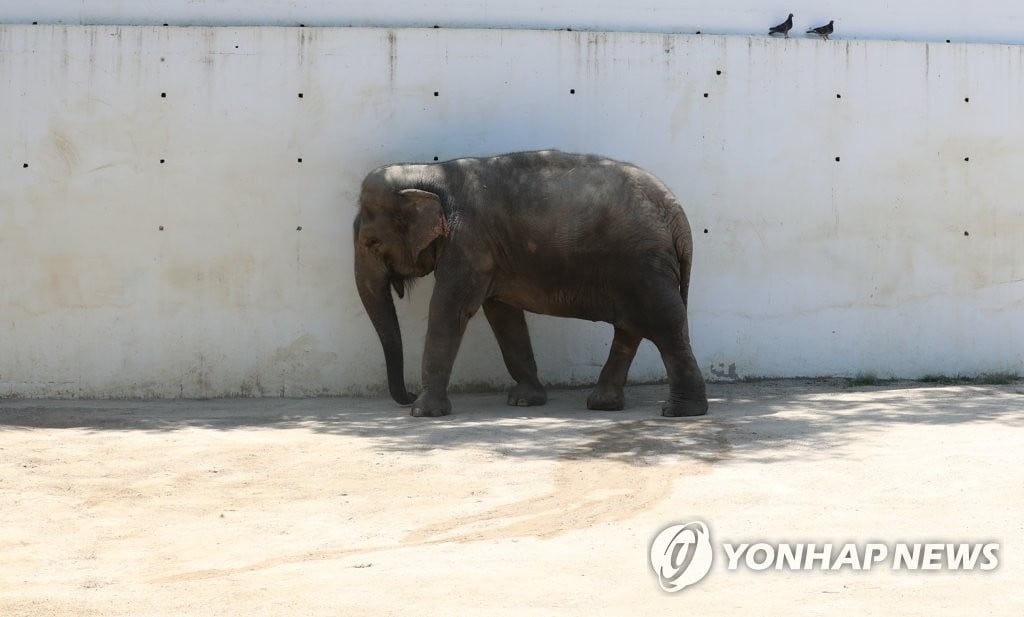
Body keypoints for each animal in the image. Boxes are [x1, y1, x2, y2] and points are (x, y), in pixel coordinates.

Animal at [352, 151, 704, 417]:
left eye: (371, 242)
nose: (408, 394)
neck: (429, 172)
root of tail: (678, 215)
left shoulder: (468, 242)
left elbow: (449, 309)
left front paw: (423, 412)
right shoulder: (489, 254)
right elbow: (503, 315)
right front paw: (525, 400)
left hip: (644, 264)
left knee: (665, 325)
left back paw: (680, 411)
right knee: (631, 328)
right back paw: (603, 404)